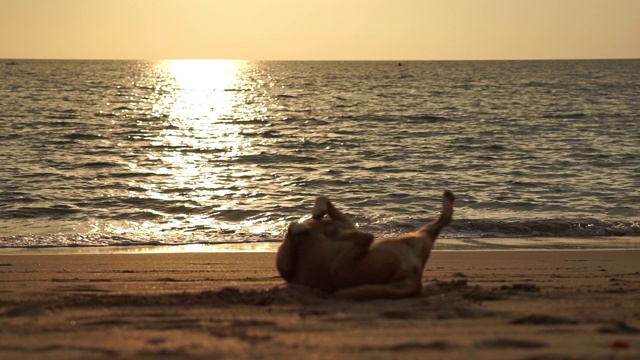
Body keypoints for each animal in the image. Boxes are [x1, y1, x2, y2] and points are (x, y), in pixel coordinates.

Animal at [276, 191, 456, 300]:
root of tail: (415, 279)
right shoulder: (287, 267)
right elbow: (292, 227)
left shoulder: (345, 221)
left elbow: (322, 200)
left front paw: (316, 212)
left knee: (367, 237)